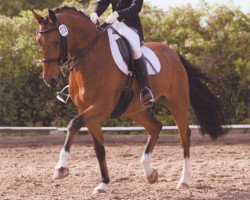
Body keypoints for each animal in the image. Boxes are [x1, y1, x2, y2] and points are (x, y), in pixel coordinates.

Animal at [31, 7, 227, 194]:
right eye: (39, 42)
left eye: (56, 42)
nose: (50, 80)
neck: (90, 57)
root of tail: (174, 54)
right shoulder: (88, 111)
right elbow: (99, 148)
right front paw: (104, 183)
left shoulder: (101, 107)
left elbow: (73, 124)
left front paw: (61, 168)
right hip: (134, 109)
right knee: (155, 127)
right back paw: (150, 172)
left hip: (177, 102)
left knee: (184, 136)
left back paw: (184, 180)